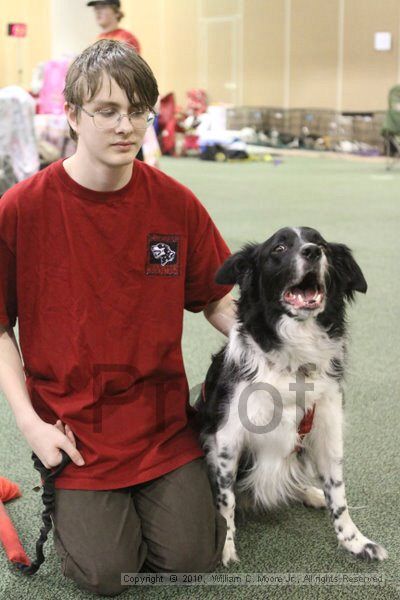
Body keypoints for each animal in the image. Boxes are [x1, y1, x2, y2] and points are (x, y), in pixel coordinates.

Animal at [196, 227, 388, 564]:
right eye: (279, 248)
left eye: (322, 244)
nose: (312, 252)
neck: (295, 360)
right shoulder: (227, 439)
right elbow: (226, 501)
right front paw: (226, 547)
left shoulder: (327, 429)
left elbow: (338, 493)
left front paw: (355, 542)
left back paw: (311, 493)